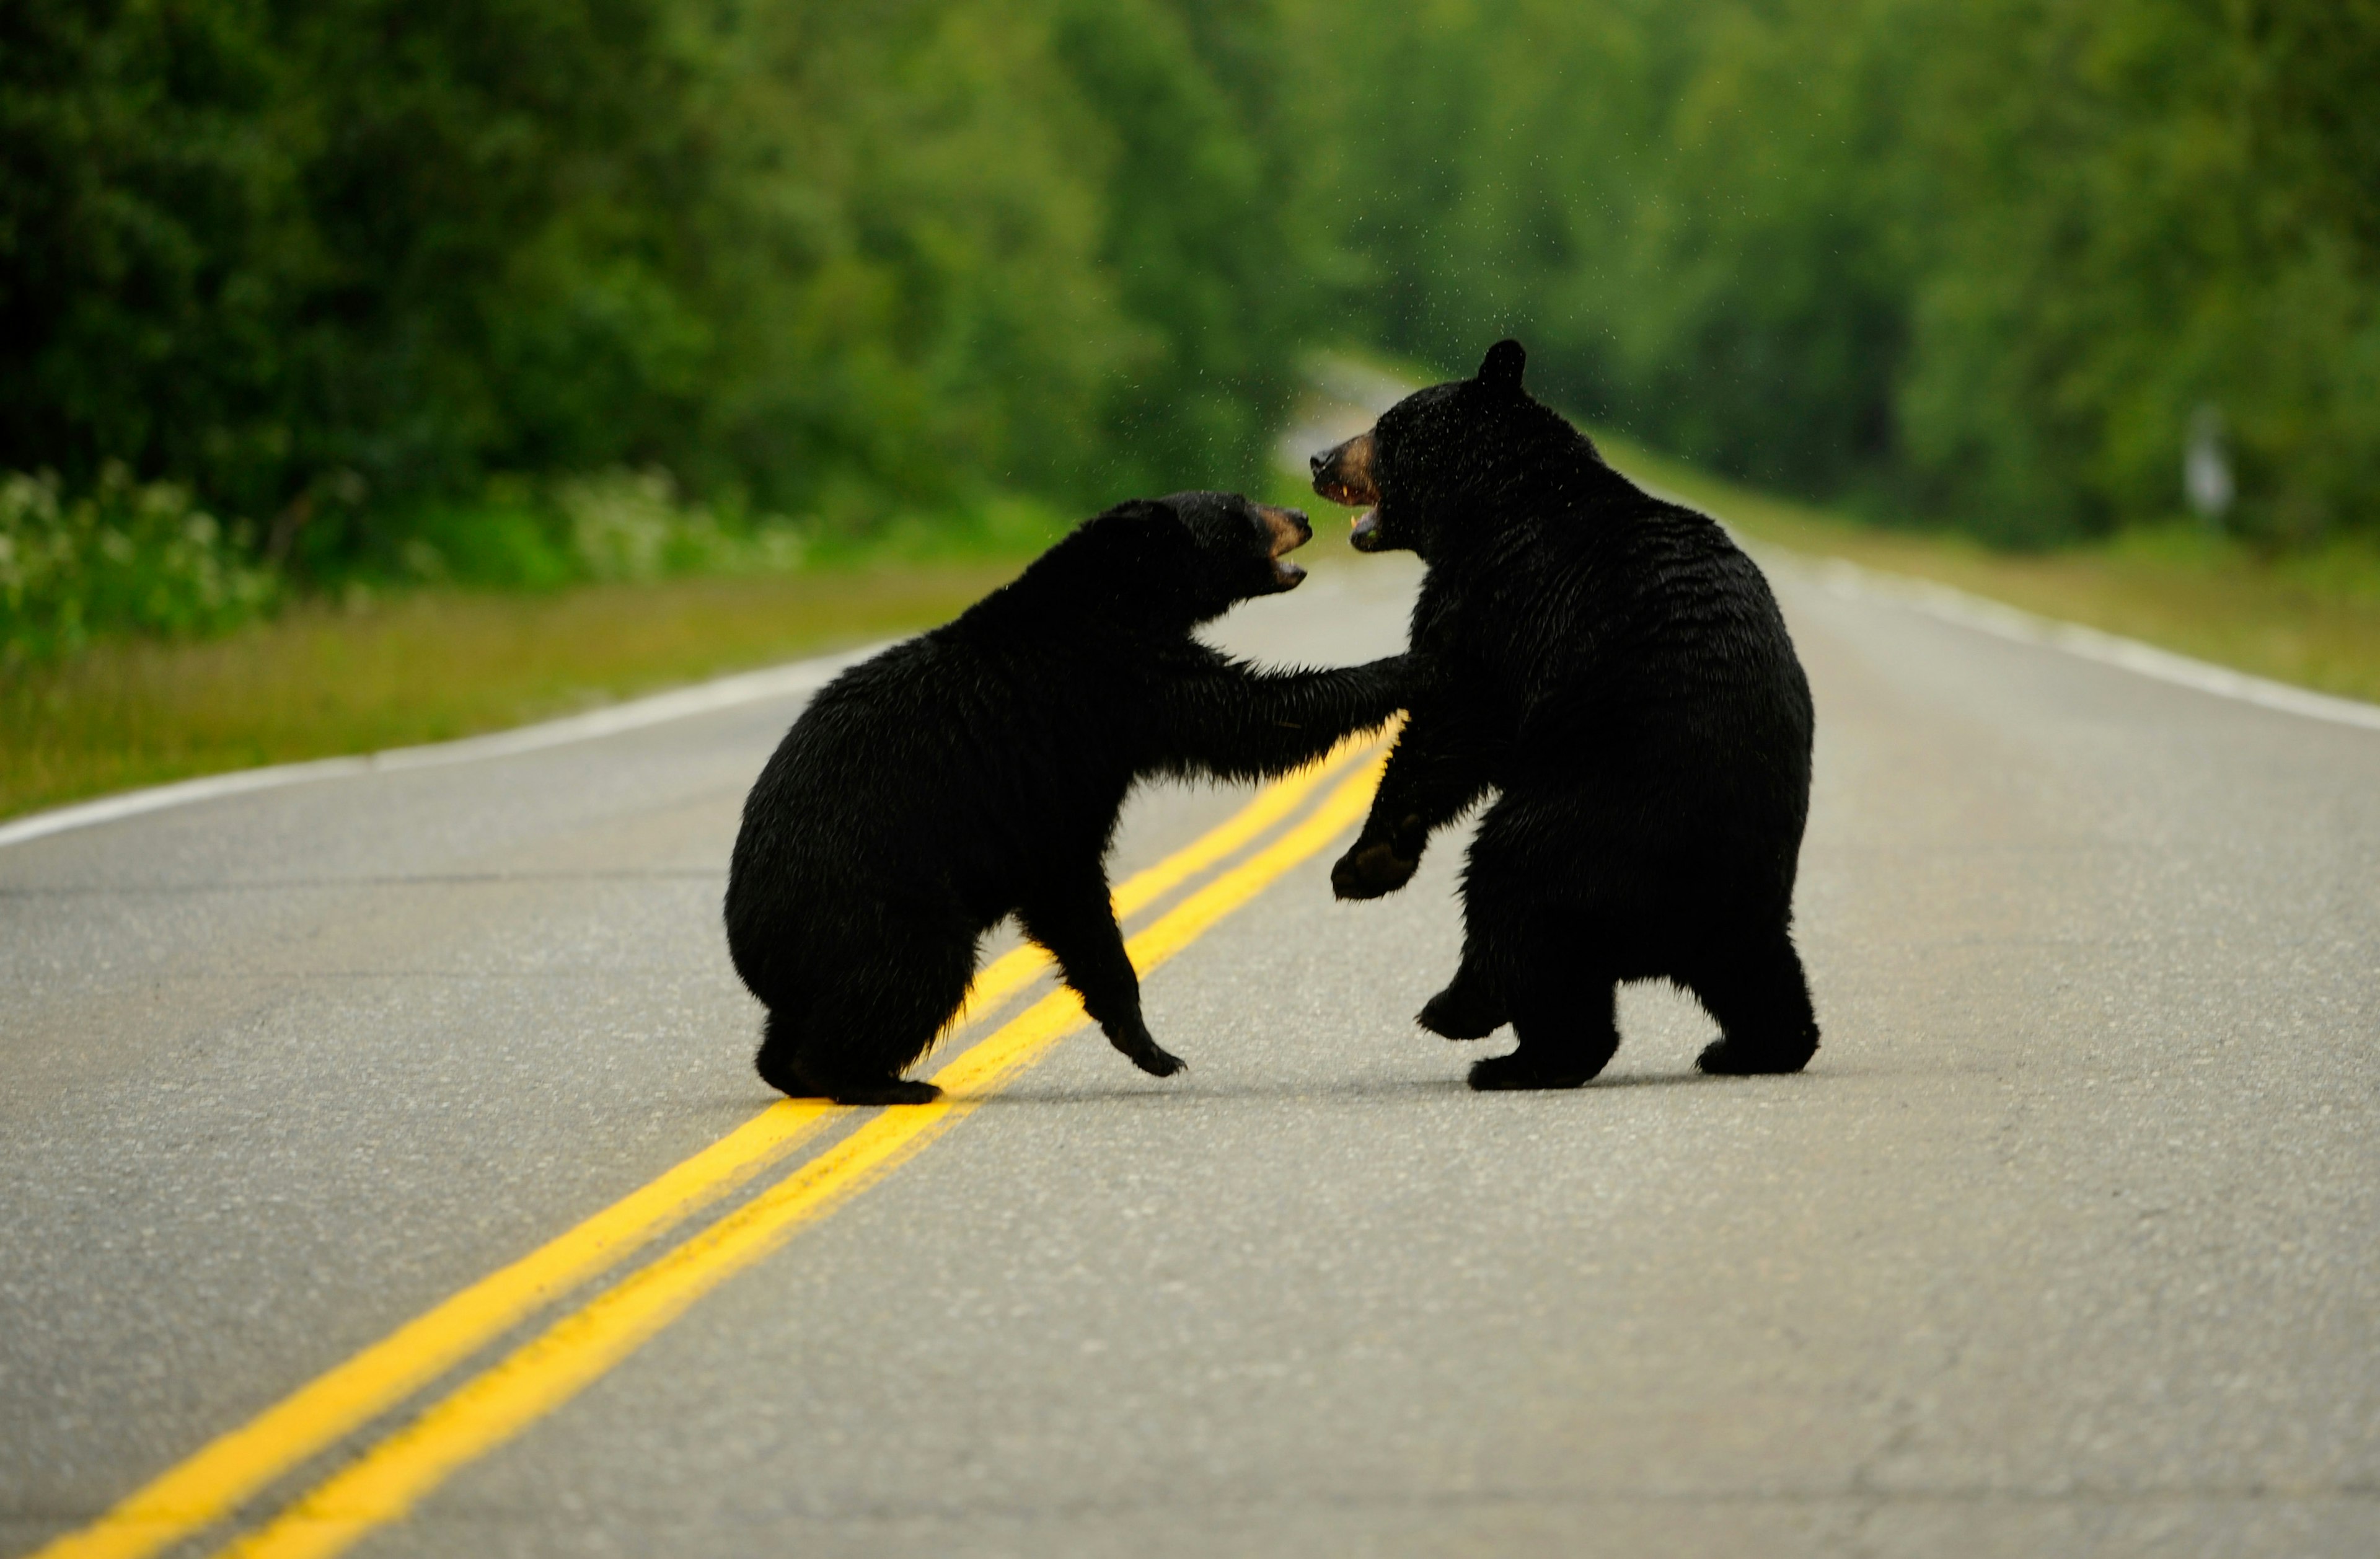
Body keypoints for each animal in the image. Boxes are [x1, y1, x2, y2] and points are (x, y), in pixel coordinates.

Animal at [714, 495, 1399, 1104]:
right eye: (1241, 509)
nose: (1303, 516)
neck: (1116, 596)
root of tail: (749, 939)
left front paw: (1142, 1041)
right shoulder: (1112, 683)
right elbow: (1246, 716)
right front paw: (1399, 665)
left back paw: (792, 1068)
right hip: (879, 898)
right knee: (913, 970)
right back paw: (878, 1081)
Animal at [1313, 338, 1809, 1099]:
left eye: (1385, 427)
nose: (1319, 459)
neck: (1497, 503)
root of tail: (1668, 926)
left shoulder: (1497, 604)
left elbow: (1451, 726)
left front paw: (1363, 864)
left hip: (1587, 815)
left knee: (1516, 897)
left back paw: (1479, 1027)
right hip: (1747, 884)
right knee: (1751, 967)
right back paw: (1749, 1047)